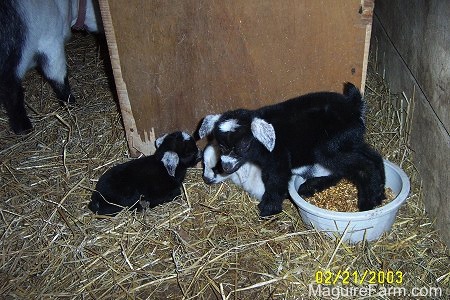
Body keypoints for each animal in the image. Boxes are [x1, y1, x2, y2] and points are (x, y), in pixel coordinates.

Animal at [199, 83, 384, 217]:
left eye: (243, 145)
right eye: (221, 146)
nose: (226, 167)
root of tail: (353, 107)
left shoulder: (278, 156)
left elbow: (276, 180)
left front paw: (268, 208)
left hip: (331, 147)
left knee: (363, 165)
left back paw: (367, 202)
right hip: (349, 141)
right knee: (373, 157)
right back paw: (378, 192)